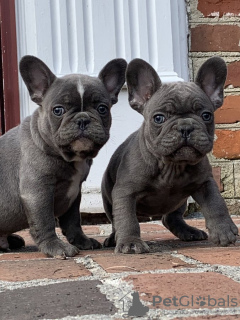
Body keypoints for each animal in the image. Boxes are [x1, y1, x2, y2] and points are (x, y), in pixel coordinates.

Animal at [0, 53, 127, 256]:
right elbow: (44, 221)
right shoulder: (38, 191)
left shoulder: (74, 192)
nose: (82, 119)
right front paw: (55, 246)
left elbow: (73, 221)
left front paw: (82, 241)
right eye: (58, 110)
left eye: (102, 108)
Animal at [101, 56, 238, 254]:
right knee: (115, 221)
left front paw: (224, 231)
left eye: (206, 115)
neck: (172, 166)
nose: (185, 127)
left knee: (170, 218)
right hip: (107, 198)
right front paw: (130, 242)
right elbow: (126, 219)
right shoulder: (125, 192)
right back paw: (113, 238)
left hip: (179, 202)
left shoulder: (205, 183)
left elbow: (216, 204)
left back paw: (188, 231)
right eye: (159, 118)